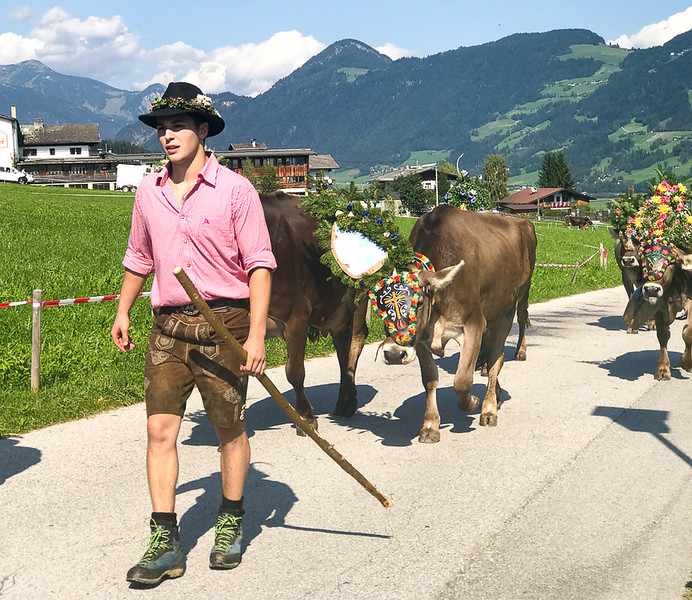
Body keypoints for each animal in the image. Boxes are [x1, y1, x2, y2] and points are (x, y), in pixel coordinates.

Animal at [260, 192, 368, 426]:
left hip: (358, 292)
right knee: (342, 345)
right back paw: (345, 398)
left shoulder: (296, 317)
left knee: (356, 339)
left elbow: (294, 372)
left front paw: (305, 416)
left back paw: (347, 402)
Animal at [374, 205, 536, 440]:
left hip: (513, 303)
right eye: (379, 304)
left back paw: (490, 406)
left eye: (419, 302)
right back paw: (495, 395)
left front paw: (475, 402)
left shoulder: (474, 323)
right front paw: (430, 425)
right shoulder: (421, 337)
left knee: (499, 354)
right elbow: (430, 379)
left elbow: (462, 380)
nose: (394, 354)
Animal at [620, 179, 692, 380]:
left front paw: (686, 362)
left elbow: (688, 331)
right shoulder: (659, 305)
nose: (651, 289)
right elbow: (663, 335)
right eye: (644, 258)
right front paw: (662, 368)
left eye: (671, 262)